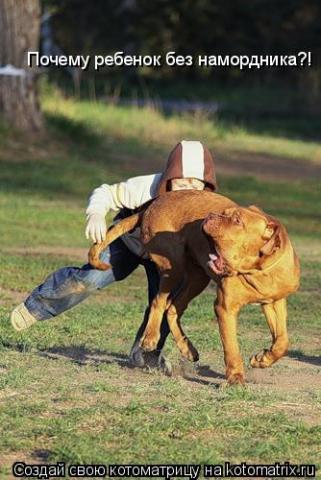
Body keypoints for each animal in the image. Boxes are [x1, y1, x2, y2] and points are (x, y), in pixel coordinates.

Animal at [89, 189, 298, 384]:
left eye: (238, 221)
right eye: (225, 213)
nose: (211, 215)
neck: (258, 271)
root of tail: (149, 207)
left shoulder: (274, 302)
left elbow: (282, 340)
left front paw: (262, 359)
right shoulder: (225, 308)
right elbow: (231, 346)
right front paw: (236, 377)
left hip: (197, 278)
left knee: (173, 308)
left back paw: (187, 349)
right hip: (172, 267)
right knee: (159, 302)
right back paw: (150, 338)